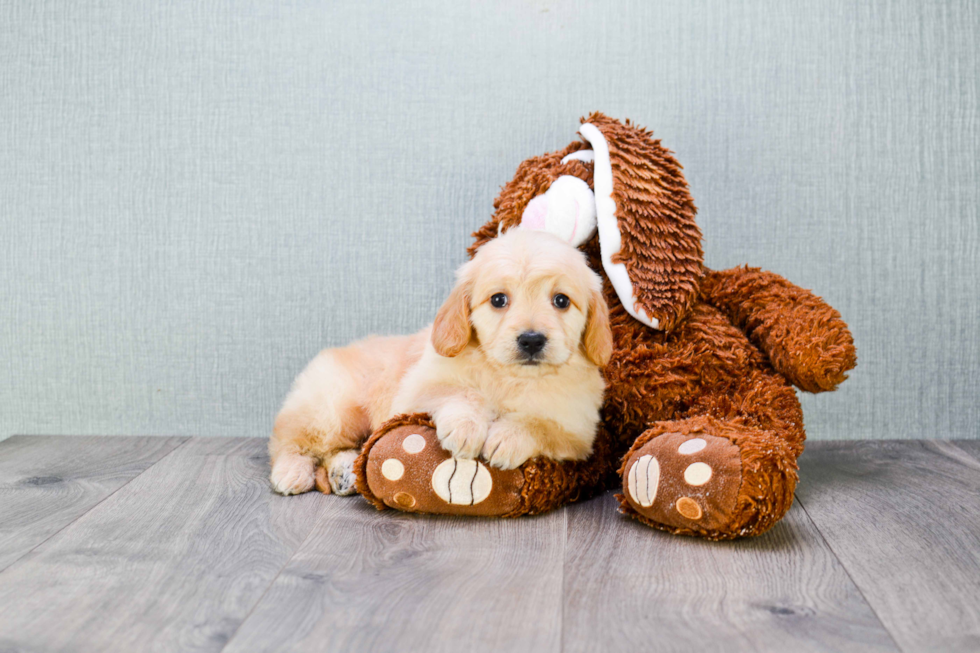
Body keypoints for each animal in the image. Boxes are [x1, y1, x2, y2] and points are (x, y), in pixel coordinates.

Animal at [266, 229, 604, 494]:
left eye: (561, 300)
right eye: (498, 300)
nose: (532, 340)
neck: (510, 377)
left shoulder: (579, 432)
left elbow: (541, 424)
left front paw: (508, 437)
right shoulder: (416, 390)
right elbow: (460, 392)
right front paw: (467, 428)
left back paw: (344, 471)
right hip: (331, 410)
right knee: (289, 440)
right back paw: (292, 472)